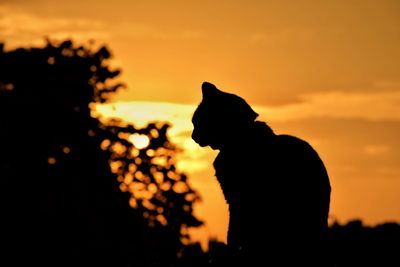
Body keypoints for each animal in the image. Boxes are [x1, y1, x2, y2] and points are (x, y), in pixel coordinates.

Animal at [191, 82, 332, 266]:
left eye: (197, 121)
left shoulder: (238, 198)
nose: (192, 136)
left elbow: (233, 233)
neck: (238, 138)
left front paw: (231, 251)